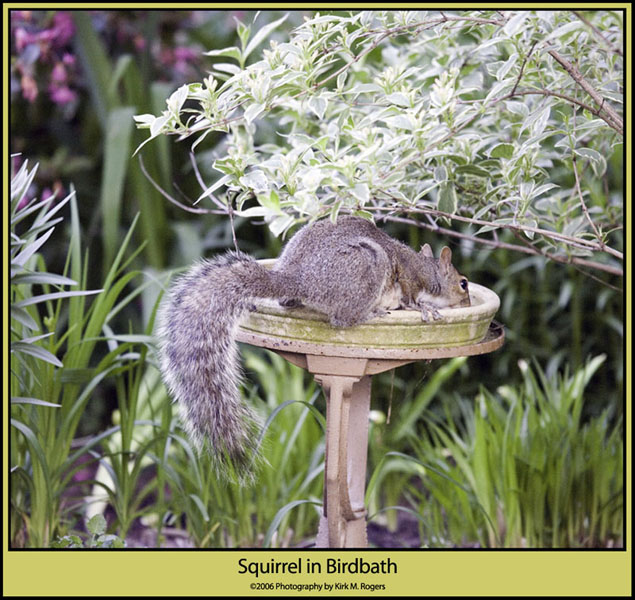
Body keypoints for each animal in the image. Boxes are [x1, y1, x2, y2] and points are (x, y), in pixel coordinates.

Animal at [157, 214, 470, 478]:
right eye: (464, 284)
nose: (467, 302)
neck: (427, 270)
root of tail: (299, 280)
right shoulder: (408, 278)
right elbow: (409, 297)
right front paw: (424, 308)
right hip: (367, 263)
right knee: (343, 318)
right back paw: (372, 313)